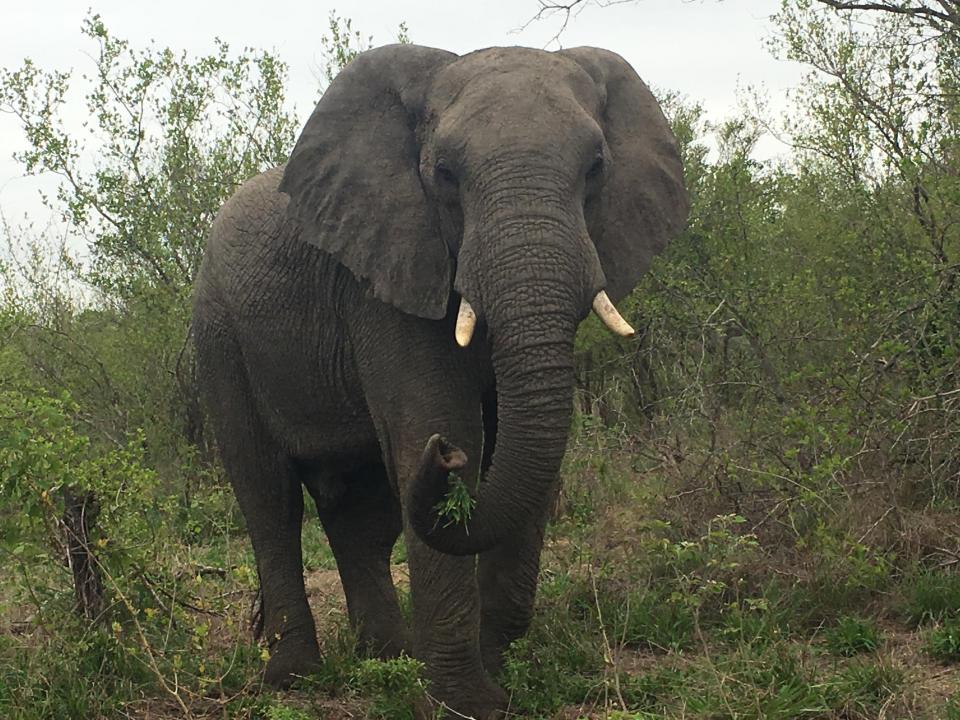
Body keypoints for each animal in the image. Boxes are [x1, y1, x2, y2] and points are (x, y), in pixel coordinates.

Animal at [193, 42, 688, 716]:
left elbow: (513, 449)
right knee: (269, 495)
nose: (443, 457)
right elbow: (436, 423)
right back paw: (295, 679)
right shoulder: (385, 275)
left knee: (363, 510)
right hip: (220, 335)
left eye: (596, 167)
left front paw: (497, 672)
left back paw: (387, 659)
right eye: (445, 175)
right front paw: (469, 703)